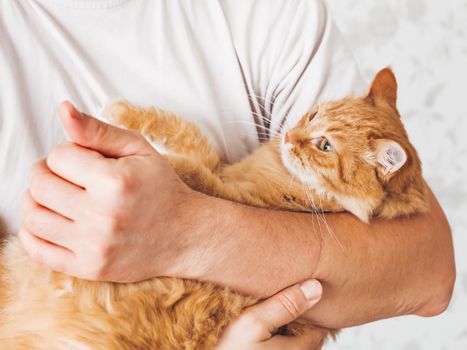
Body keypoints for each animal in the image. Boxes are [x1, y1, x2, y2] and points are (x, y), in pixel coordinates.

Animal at [0, 67, 430, 348]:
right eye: (311, 116)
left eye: (324, 145)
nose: (289, 136)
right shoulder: (224, 169)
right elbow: (191, 134)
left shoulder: (222, 189)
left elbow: (190, 158)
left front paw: (135, 140)